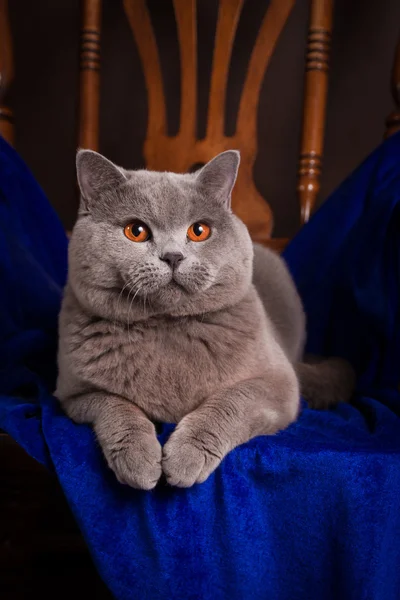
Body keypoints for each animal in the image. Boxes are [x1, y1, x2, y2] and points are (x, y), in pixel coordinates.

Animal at [54, 149, 354, 488]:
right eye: (136, 231)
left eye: (199, 231)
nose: (173, 256)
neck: (165, 326)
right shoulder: (74, 393)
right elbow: (116, 406)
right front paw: (138, 459)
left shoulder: (279, 383)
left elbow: (231, 402)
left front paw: (186, 456)